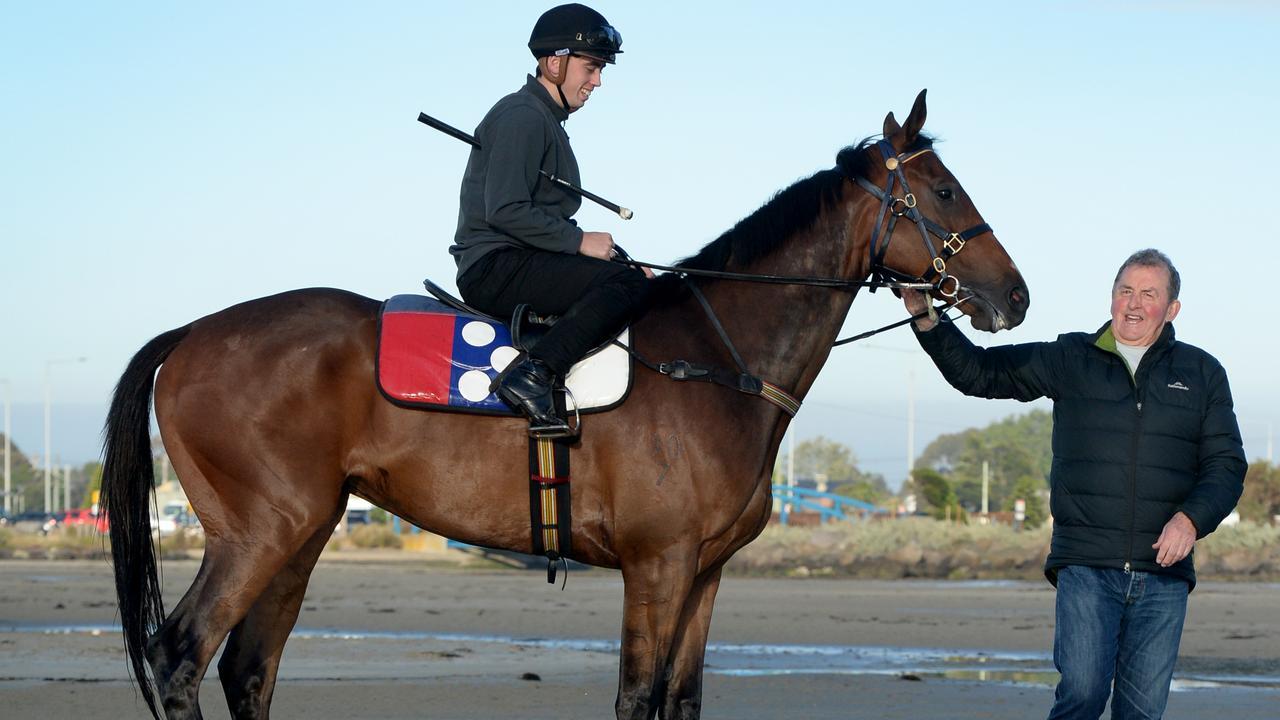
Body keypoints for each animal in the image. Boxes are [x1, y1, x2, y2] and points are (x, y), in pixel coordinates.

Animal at [102, 90, 1029, 717]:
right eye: (944, 191)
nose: (1015, 296)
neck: (713, 359)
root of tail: (192, 333)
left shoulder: (705, 573)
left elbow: (681, 700)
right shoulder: (657, 567)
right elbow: (636, 697)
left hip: (301, 535)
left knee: (246, 668)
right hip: (260, 533)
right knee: (181, 656)